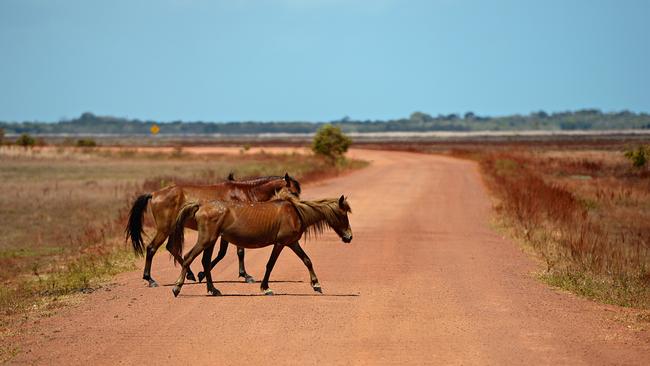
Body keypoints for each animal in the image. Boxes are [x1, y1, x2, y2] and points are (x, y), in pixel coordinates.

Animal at [124, 173, 302, 288]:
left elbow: (225, 253)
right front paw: (245, 276)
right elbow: (234, 253)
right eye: (293, 191)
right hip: (165, 228)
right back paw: (150, 279)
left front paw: (202, 274)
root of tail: (154, 194)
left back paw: (189, 274)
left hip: (172, 229)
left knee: (171, 248)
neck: (243, 192)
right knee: (152, 248)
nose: (296, 208)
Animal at [166, 190, 350, 296]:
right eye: (343, 215)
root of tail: (201, 206)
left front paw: (316, 285)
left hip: (210, 241)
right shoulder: (281, 243)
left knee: (205, 262)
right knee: (188, 257)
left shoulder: (292, 243)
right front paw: (266, 288)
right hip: (206, 240)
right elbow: (270, 264)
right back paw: (177, 288)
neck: (295, 213)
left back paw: (213, 290)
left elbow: (307, 260)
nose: (349, 237)